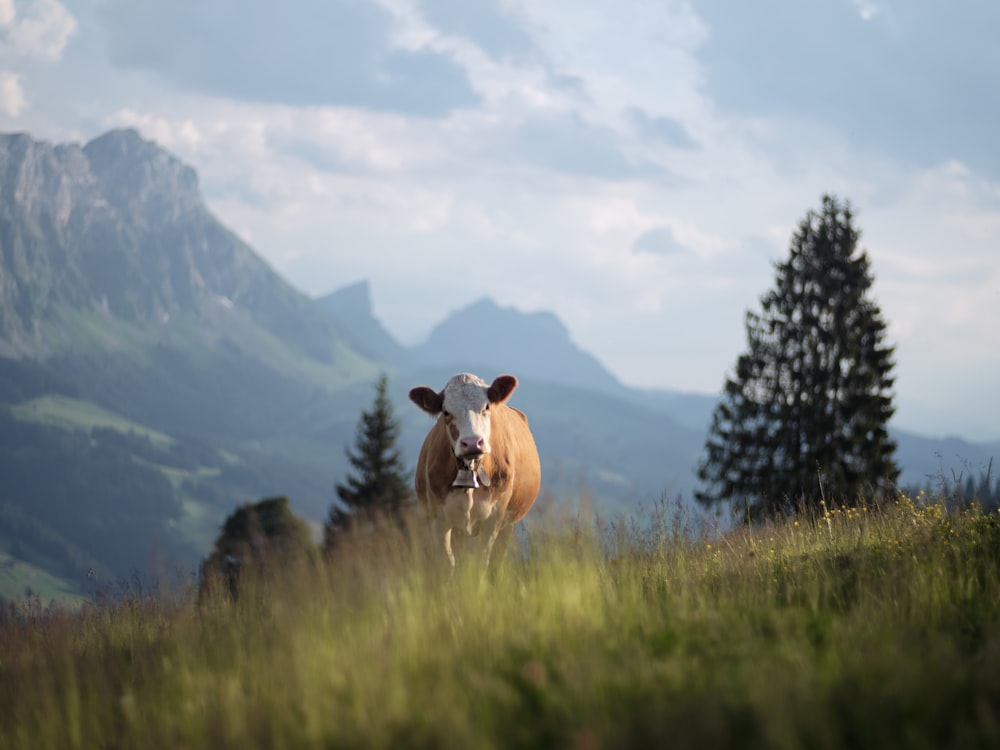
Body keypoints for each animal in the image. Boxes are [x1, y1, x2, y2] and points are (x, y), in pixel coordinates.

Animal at [410, 374, 544, 576]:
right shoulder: (438, 519)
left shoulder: (493, 519)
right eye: (446, 412)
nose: (472, 443)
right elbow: (447, 565)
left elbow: (482, 564)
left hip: (508, 523)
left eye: (486, 407)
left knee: (498, 560)